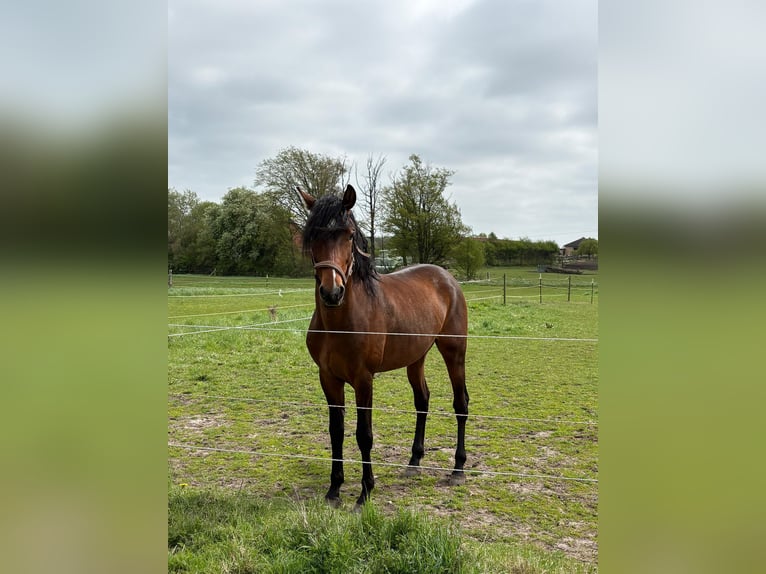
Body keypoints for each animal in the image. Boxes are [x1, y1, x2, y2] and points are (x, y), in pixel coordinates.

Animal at [297, 183, 469, 509]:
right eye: (313, 235)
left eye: (349, 234)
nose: (332, 292)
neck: (342, 321)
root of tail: (447, 277)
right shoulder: (328, 378)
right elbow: (336, 431)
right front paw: (334, 490)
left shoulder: (364, 379)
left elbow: (364, 435)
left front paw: (365, 492)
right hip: (416, 358)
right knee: (422, 401)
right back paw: (414, 462)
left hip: (454, 352)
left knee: (461, 404)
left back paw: (458, 468)